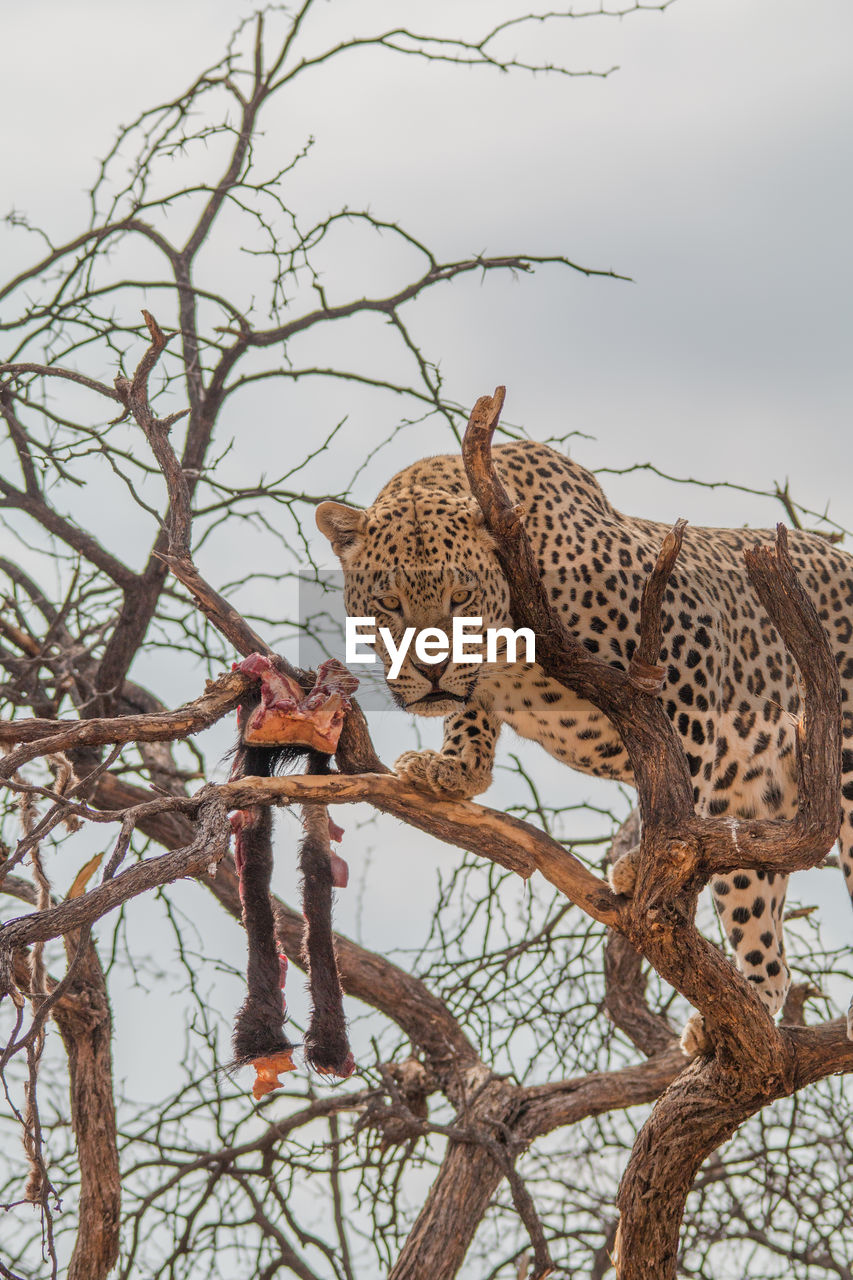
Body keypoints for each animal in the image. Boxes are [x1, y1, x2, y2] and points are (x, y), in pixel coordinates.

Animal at [317, 440, 850, 1049]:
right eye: (388, 602)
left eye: (461, 596)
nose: (430, 669)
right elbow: (470, 709)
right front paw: (454, 767)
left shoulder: (690, 643)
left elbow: (678, 764)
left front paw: (650, 855)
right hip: (754, 808)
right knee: (767, 942)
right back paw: (739, 1023)